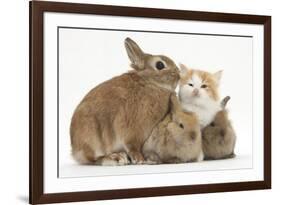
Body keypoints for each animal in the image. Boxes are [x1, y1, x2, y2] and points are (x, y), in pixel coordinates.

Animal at [70, 37, 179, 165]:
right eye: (160, 65)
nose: (178, 74)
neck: (150, 83)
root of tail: (75, 151)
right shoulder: (132, 130)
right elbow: (132, 145)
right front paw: (140, 160)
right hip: (91, 136)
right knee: (92, 159)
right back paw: (115, 158)